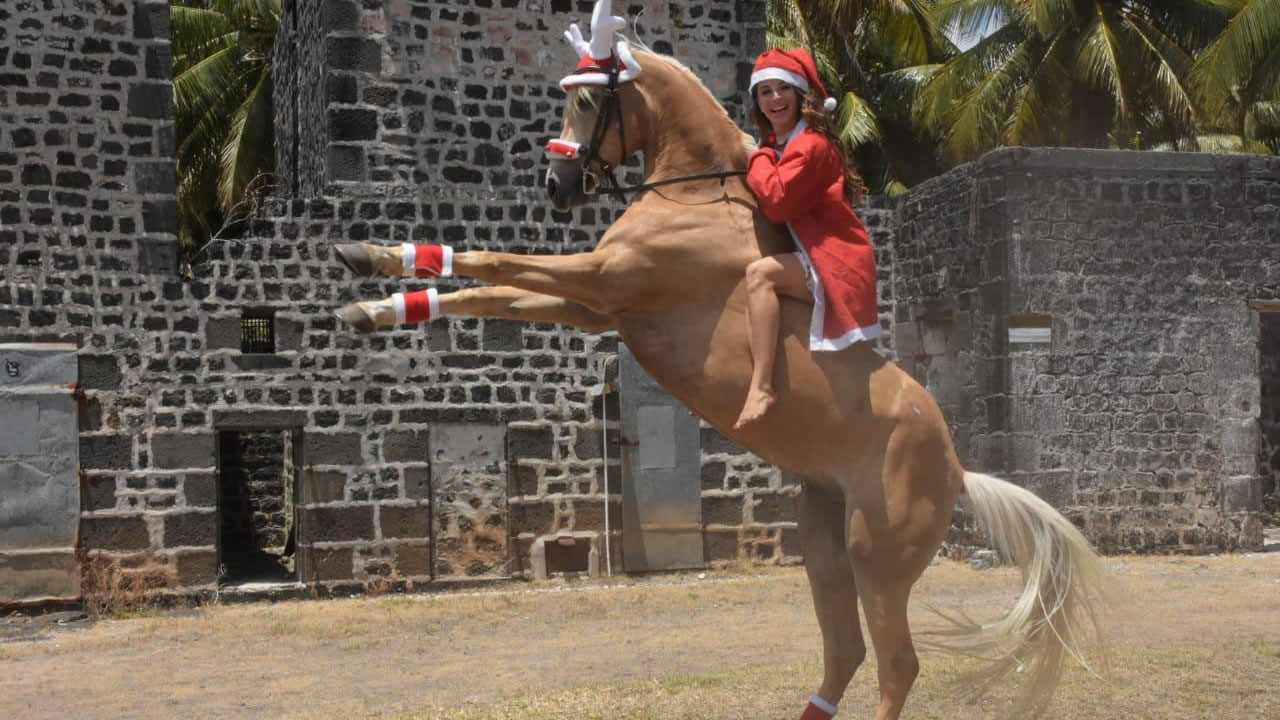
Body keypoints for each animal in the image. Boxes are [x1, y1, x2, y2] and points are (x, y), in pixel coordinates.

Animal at [334, 45, 1107, 720]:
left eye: (585, 100)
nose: (557, 188)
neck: (699, 193)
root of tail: (955, 467)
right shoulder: (593, 304)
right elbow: (486, 288)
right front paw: (371, 290)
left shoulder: (599, 282)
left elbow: (493, 261)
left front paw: (371, 269)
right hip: (825, 544)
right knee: (845, 652)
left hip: (877, 560)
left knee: (896, 666)